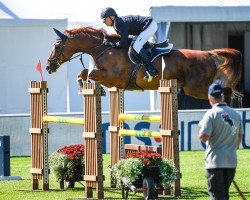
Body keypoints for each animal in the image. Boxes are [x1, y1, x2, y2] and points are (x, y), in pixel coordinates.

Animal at [45, 26, 242, 104]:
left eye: (57, 46)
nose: (48, 66)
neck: (103, 48)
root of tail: (208, 53)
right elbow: (84, 72)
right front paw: (91, 89)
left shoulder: (112, 77)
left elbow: (87, 73)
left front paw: (88, 88)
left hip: (194, 88)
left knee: (224, 91)